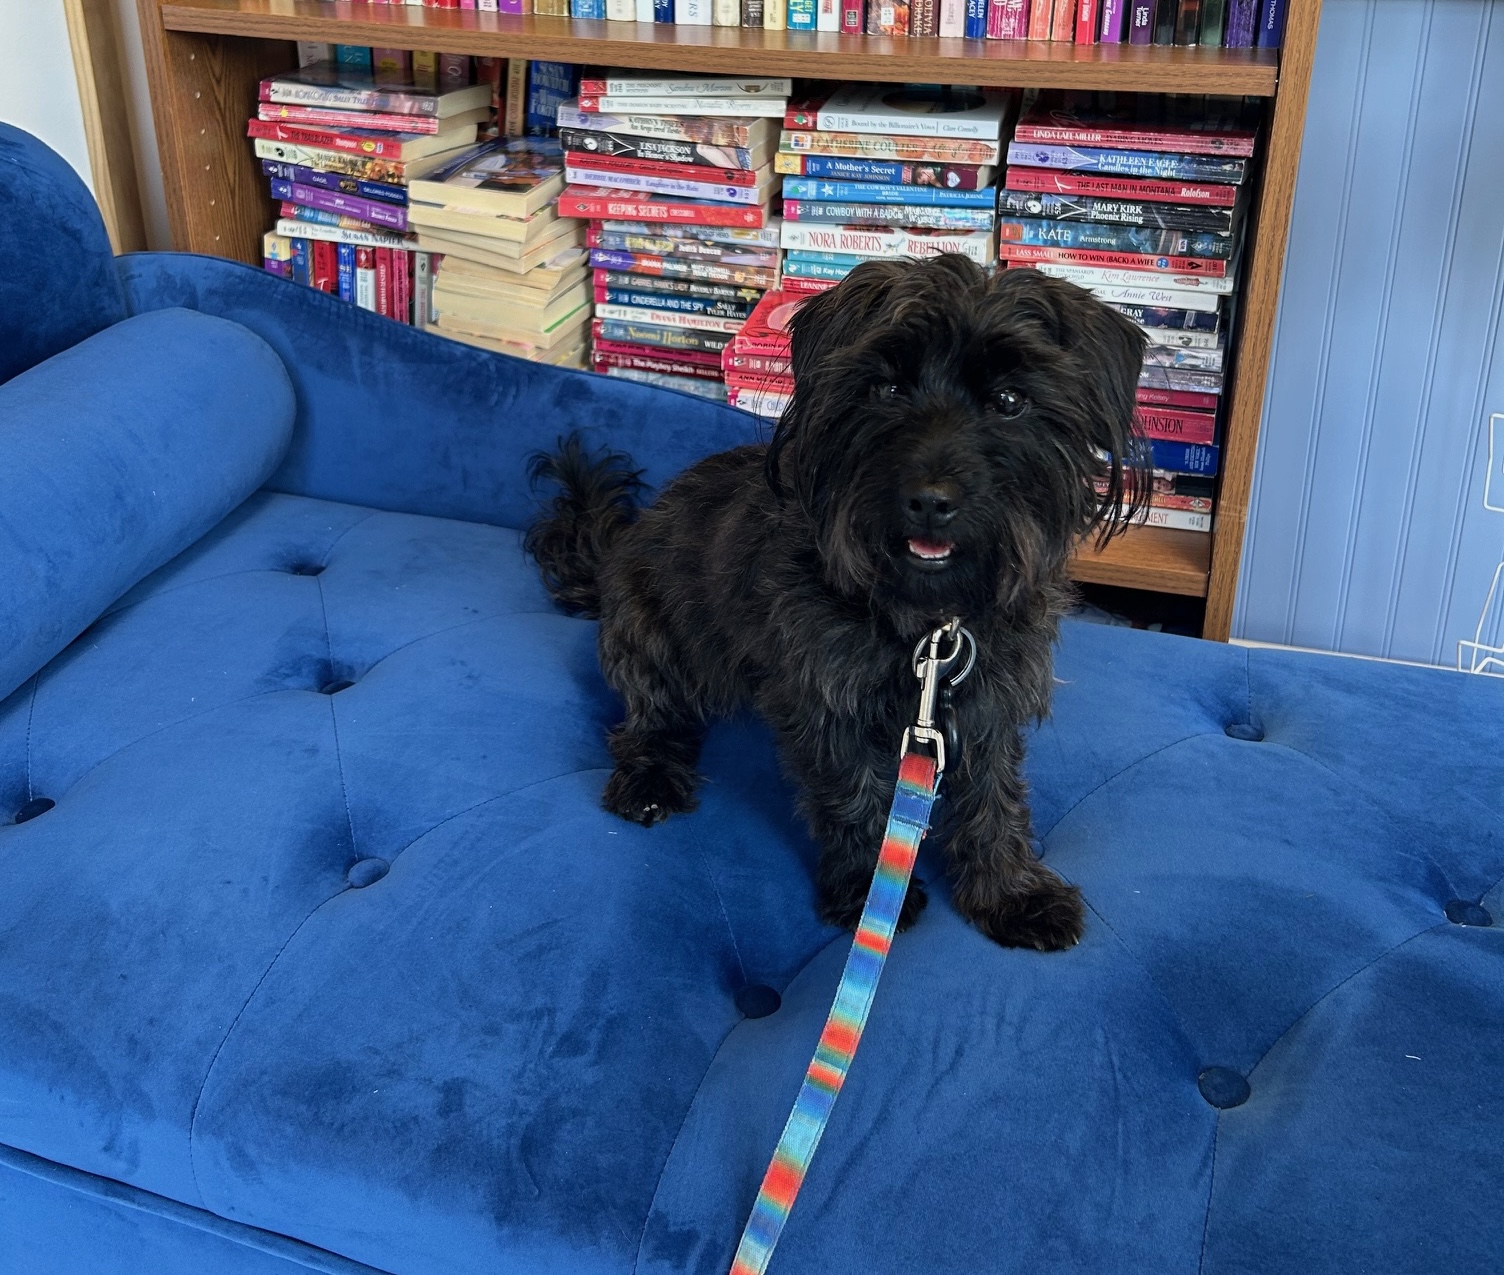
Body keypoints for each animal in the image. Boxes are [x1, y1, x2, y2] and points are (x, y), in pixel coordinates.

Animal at [526, 254, 1137, 950]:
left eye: (1009, 401)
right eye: (887, 390)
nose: (931, 500)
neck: (930, 625)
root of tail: (617, 547)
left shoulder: (990, 701)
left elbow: (994, 795)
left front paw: (1011, 893)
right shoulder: (826, 700)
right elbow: (854, 796)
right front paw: (867, 893)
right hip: (649, 636)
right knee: (648, 719)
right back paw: (649, 780)